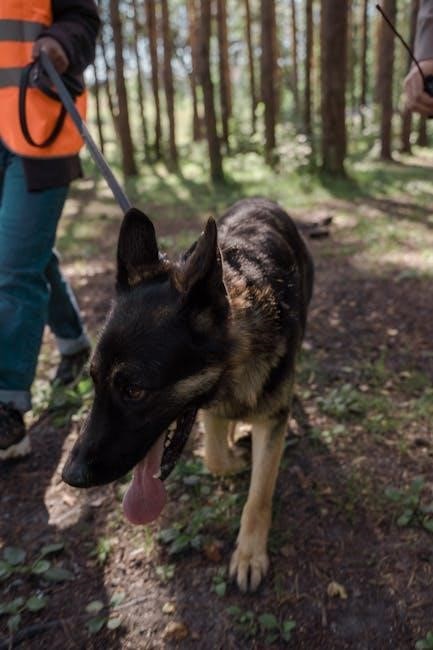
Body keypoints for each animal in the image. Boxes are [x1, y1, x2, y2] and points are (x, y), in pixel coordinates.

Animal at [62, 198, 314, 592]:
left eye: (134, 390)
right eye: (94, 379)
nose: (71, 476)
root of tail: (261, 200)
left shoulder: (273, 418)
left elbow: (258, 496)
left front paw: (249, 555)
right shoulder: (209, 408)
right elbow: (214, 456)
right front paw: (234, 456)